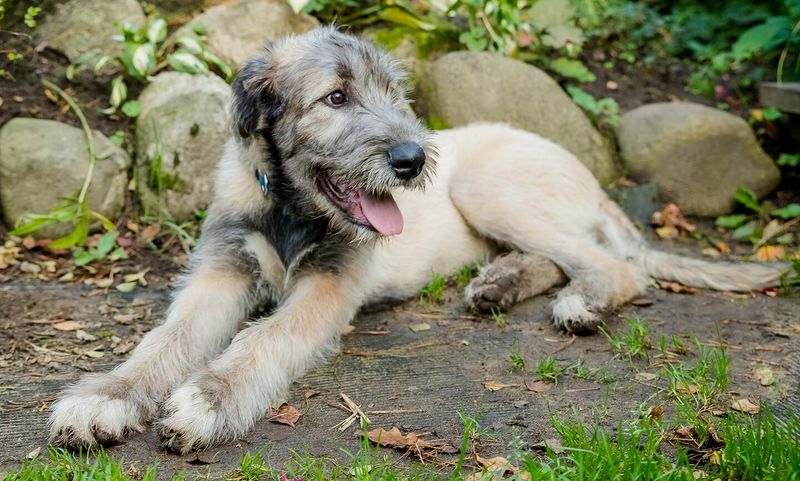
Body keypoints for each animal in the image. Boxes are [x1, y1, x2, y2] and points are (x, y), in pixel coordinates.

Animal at [48, 27, 788, 454]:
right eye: (337, 98)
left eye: (395, 93)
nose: (412, 159)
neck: (291, 207)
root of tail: (582, 167)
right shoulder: (220, 272)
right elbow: (165, 340)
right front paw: (106, 396)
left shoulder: (328, 286)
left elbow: (264, 339)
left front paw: (209, 400)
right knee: (555, 259)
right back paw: (499, 285)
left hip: (491, 189)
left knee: (616, 266)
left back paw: (582, 301)